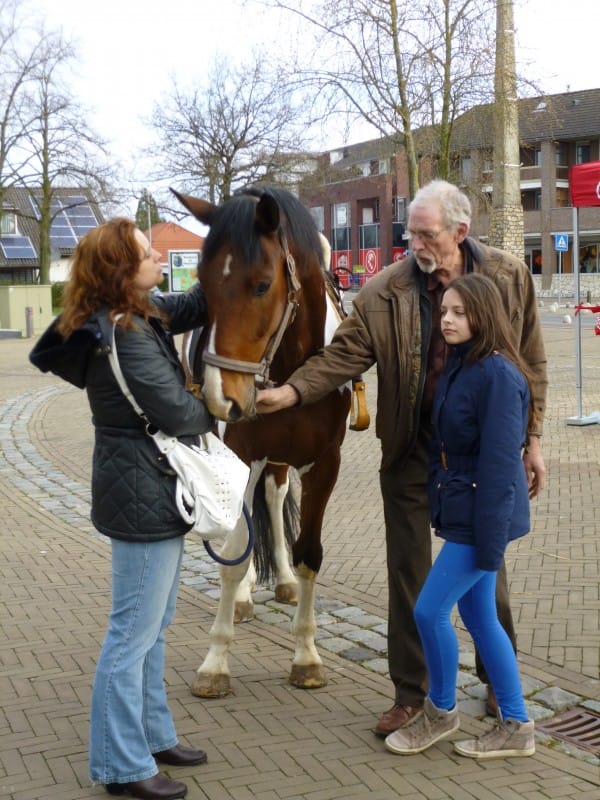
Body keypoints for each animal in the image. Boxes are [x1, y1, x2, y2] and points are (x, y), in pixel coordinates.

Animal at [172, 186, 352, 692]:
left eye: (261, 284)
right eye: (204, 285)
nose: (222, 397)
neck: (292, 369)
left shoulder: (324, 463)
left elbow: (309, 553)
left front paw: (307, 656)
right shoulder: (240, 452)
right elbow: (233, 553)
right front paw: (216, 662)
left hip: (279, 459)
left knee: (272, 497)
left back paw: (283, 580)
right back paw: (246, 594)